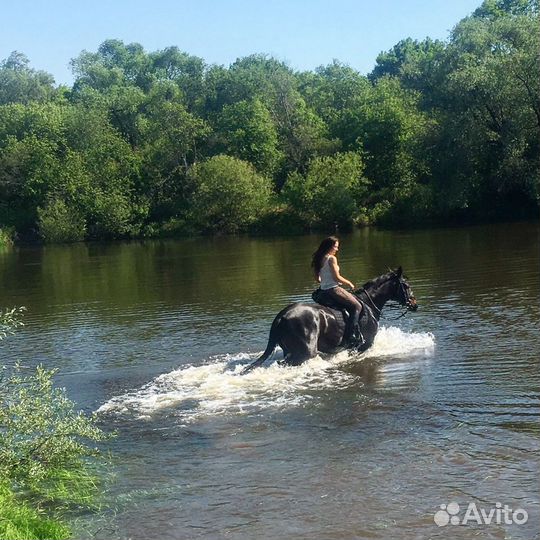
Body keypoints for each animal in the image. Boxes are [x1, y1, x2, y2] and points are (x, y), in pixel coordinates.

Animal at [244, 268, 418, 374]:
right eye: (406, 285)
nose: (414, 304)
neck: (369, 304)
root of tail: (281, 316)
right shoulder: (365, 344)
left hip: (290, 350)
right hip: (305, 352)